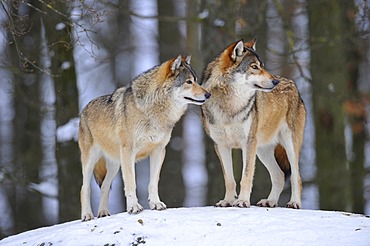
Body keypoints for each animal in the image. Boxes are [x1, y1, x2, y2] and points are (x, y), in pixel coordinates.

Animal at [78, 55, 211, 221]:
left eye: (196, 80)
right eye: (188, 82)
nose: (208, 94)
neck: (154, 111)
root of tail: (84, 109)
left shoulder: (159, 151)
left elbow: (153, 182)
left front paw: (155, 203)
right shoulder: (128, 152)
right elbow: (130, 182)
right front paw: (133, 207)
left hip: (115, 165)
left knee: (104, 187)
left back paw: (103, 213)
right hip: (91, 161)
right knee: (84, 188)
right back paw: (87, 215)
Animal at [201, 39, 304, 209]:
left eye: (262, 65)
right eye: (254, 67)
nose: (275, 81)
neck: (230, 107)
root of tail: (292, 84)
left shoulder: (248, 143)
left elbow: (246, 176)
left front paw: (242, 201)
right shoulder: (221, 145)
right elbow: (229, 179)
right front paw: (228, 201)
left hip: (289, 145)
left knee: (296, 176)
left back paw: (294, 202)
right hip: (262, 150)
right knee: (280, 175)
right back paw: (270, 201)